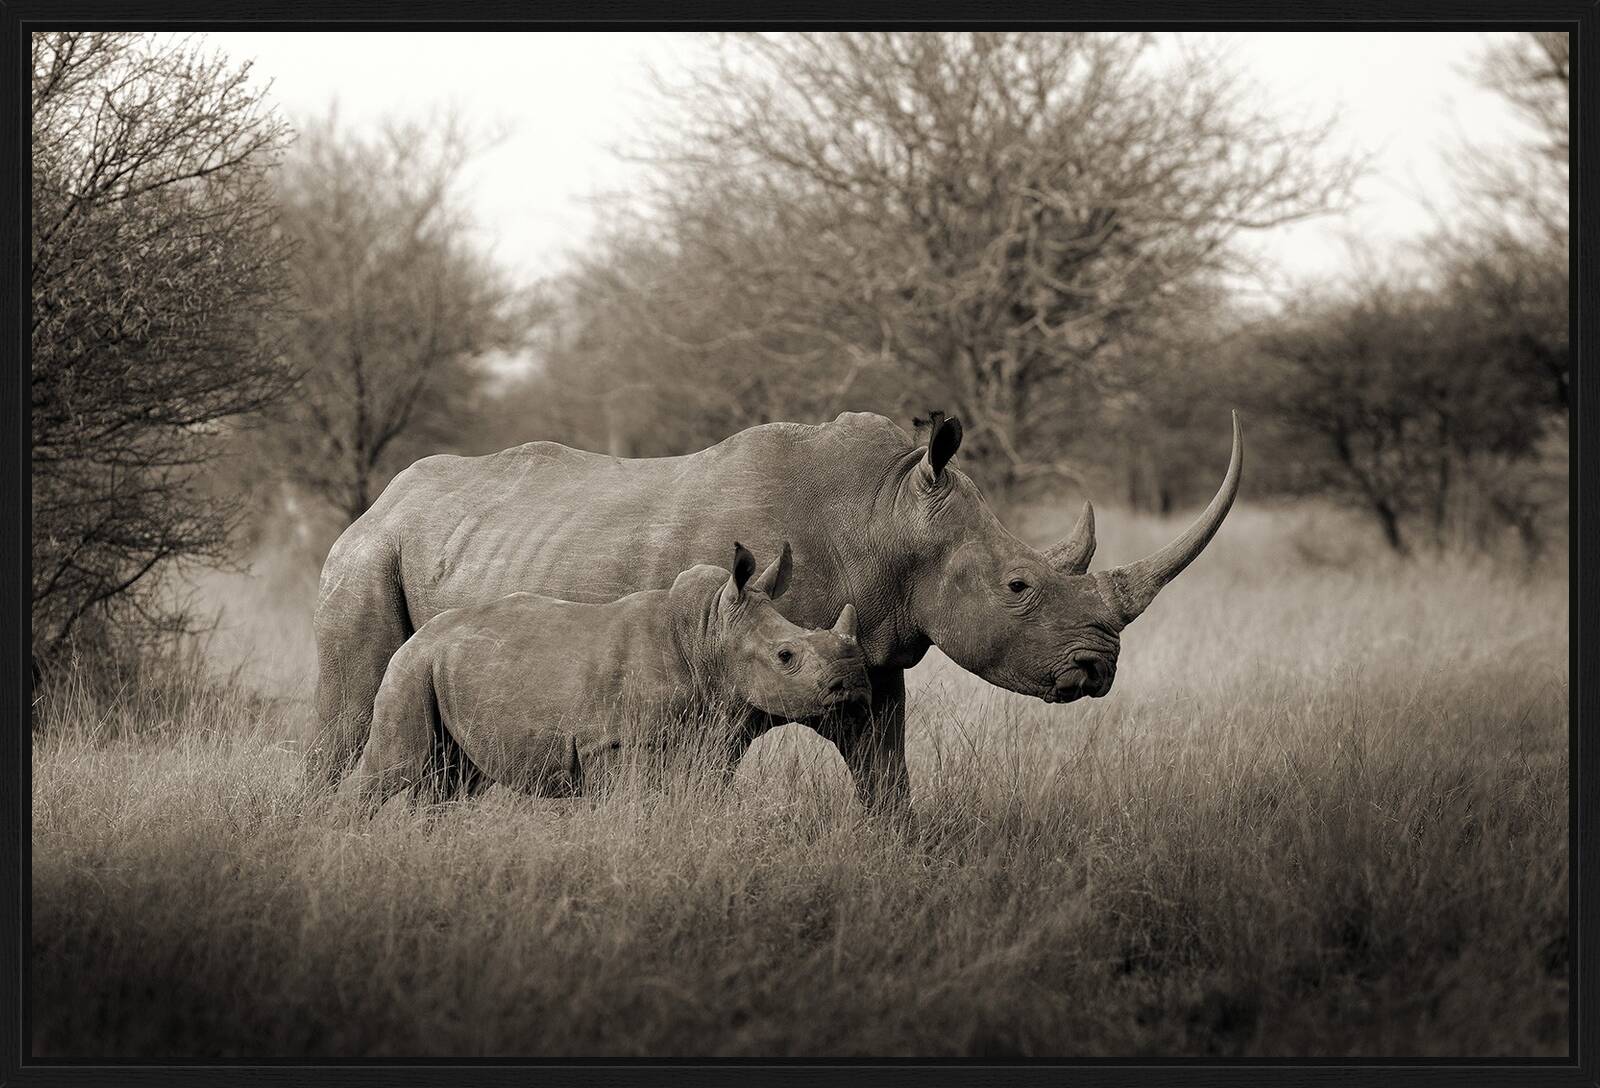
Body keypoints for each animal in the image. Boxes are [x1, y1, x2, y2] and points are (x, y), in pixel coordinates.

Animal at [347, 541, 869, 816]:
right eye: (786, 656)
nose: (854, 684)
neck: (706, 633)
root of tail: (420, 635)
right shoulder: (614, 741)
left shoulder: (699, 733)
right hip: (411, 667)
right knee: (395, 765)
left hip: (445, 667)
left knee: (453, 781)